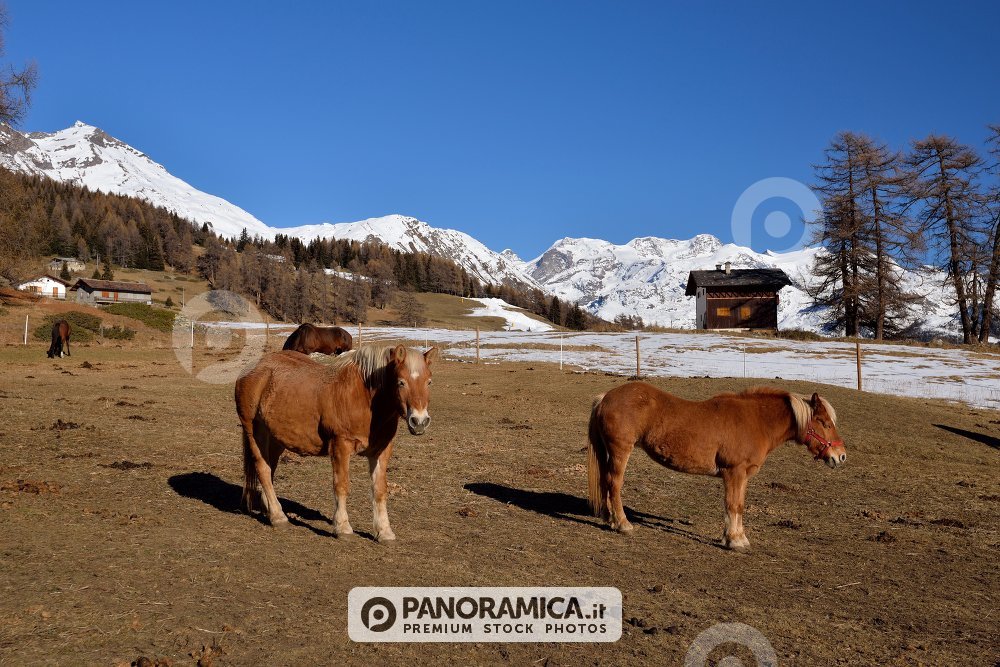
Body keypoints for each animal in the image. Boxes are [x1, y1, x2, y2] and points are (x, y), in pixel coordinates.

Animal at [235, 344, 437, 543]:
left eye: (429, 382)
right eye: (401, 382)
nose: (419, 422)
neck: (364, 398)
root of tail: (253, 368)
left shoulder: (381, 451)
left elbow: (380, 490)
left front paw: (385, 532)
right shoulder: (341, 445)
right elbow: (341, 485)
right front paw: (343, 528)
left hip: (277, 438)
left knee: (270, 469)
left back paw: (269, 509)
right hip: (255, 431)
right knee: (263, 468)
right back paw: (278, 517)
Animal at [587, 383, 845, 551]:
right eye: (824, 423)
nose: (840, 456)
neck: (757, 421)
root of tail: (605, 397)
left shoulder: (742, 475)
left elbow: (739, 505)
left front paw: (737, 537)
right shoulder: (734, 472)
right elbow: (732, 505)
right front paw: (734, 540)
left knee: (606, 483)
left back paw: (610, 519)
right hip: (621, 451)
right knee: (614, 484)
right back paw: (622, 524)